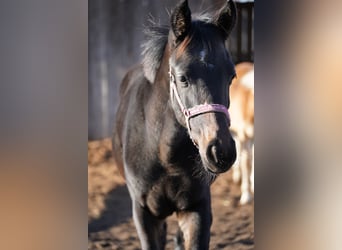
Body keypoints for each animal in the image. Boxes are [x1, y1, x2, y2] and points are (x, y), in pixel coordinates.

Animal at [112, 0, 238, 249]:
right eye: (182, 78)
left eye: (231, 76)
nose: (221, 151)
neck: (163, 154)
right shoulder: (144, 214)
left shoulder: (197, 209)